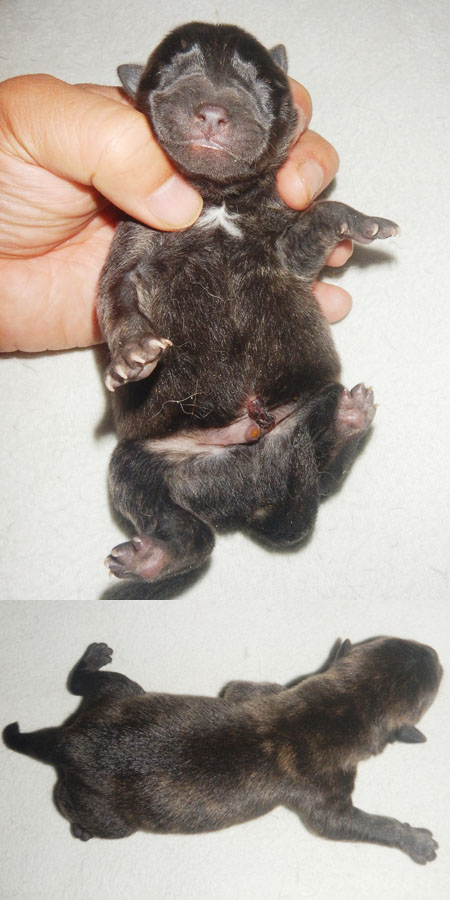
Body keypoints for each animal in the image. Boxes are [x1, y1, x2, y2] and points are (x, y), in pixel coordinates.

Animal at [4, 636, 440, 865]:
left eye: (388, 640)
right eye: (435, 681)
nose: (435, 653)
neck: (336, 708)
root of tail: (70, 739)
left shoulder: (256, 691)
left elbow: (237, 689)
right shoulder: (326, 803)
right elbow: (359, 824)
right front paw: (415, 841)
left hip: (120, 692)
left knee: (84, 683)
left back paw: (93, 659)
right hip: (109, 817)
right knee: (73, 807)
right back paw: (80, 829)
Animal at [98, 22, 399, 583]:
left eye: (261, 85)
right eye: (172, 77)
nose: (213, 111)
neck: (217, 200)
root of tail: (250, 501)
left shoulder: (287, 246)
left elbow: (319, 214)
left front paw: (361, 221)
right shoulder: (132, 241)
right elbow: (115, 294)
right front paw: (132, 353)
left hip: (306, 406)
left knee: (325, 469)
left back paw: (350, 417)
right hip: (138, 464)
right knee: (185, 529)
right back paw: (153, 556)